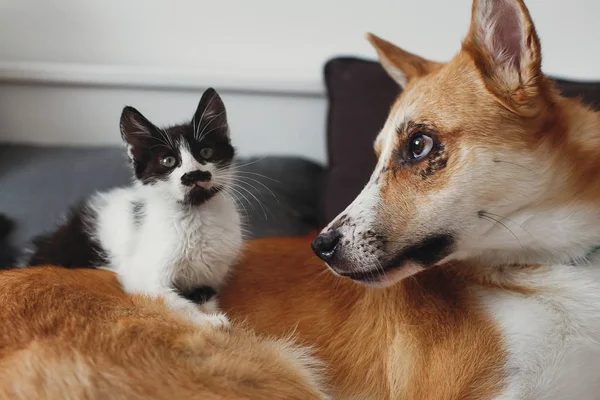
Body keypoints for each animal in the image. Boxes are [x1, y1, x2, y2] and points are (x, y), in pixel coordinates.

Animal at [25, 89, 241, 330]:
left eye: (206, 152)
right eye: (168, 160)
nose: (194, 174)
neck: (196, 215)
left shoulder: (211, 273)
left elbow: (205, 295)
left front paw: (210, 313)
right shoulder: (140, 276)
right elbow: (172, 299)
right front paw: (208, 322)